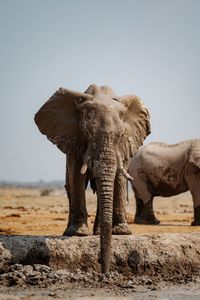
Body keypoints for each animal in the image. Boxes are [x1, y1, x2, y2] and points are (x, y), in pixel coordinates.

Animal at [34, 84, 150, 272]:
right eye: (87, 133)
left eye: (120, 135)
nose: (105, 273)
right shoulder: (73, 137)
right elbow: (76, 175)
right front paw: (78, 234)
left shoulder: (125, 144)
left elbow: (118, 176)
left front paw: (121, 233)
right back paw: (73, 231)